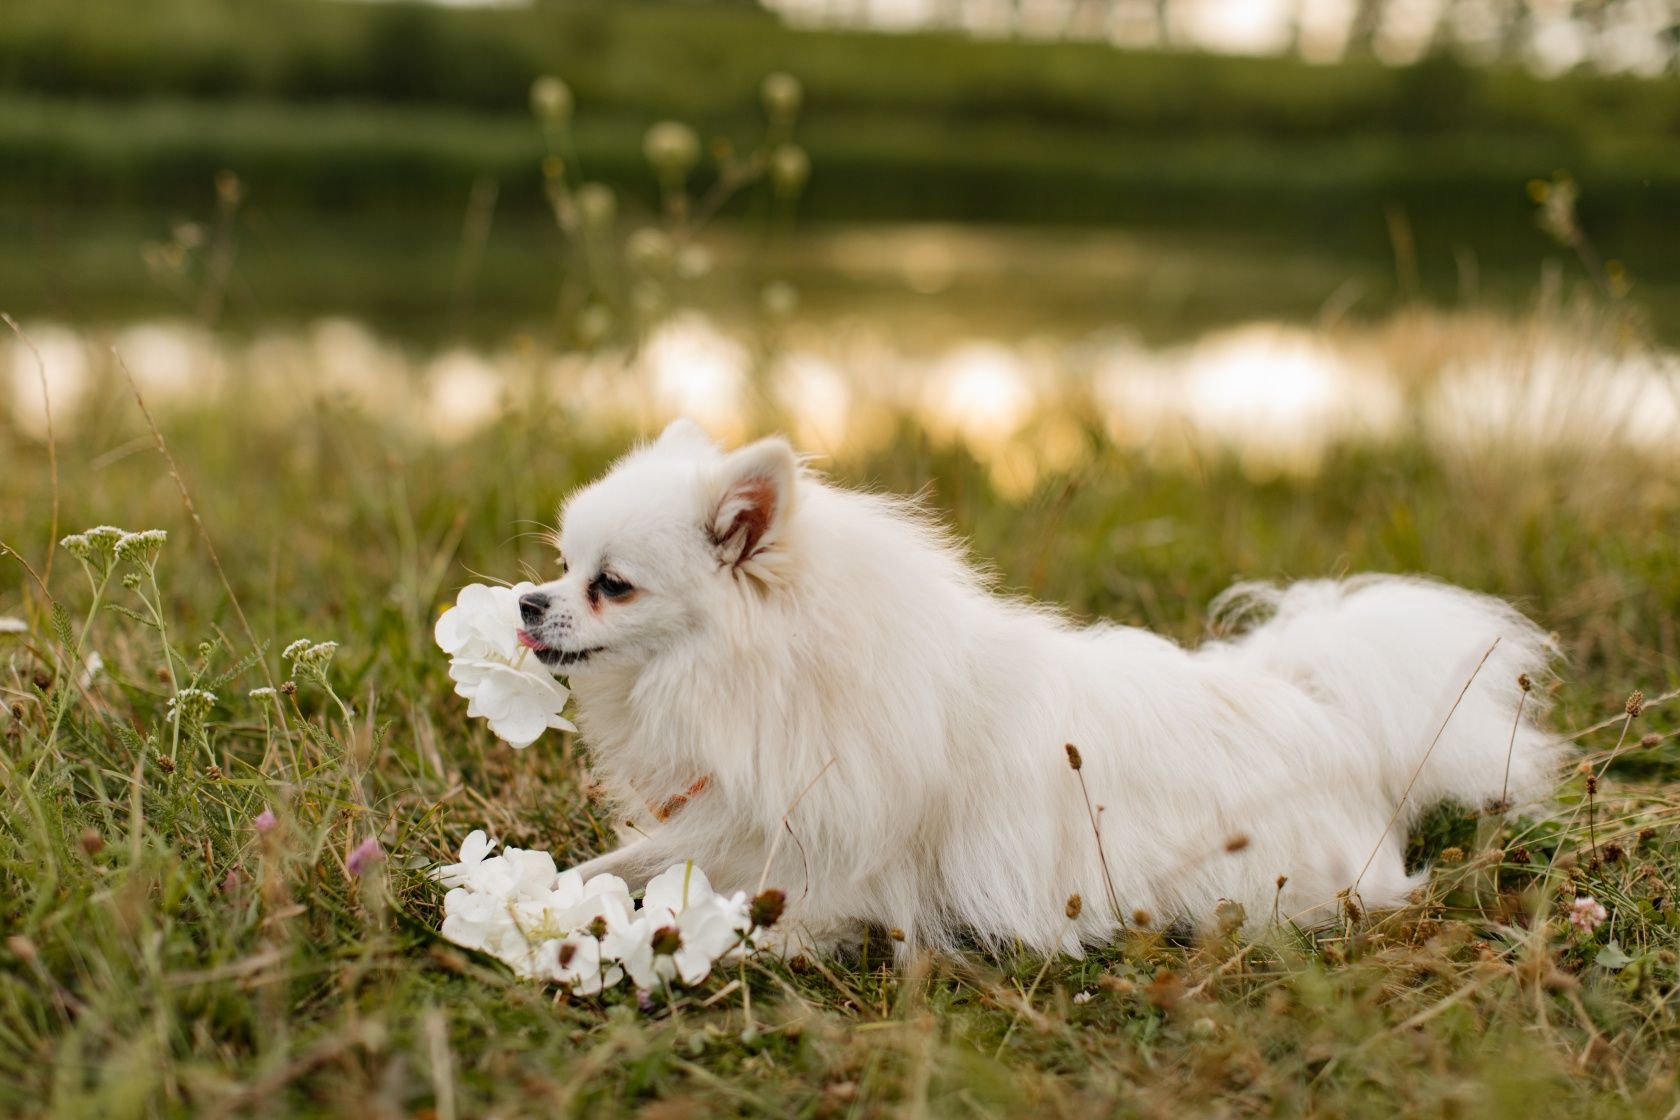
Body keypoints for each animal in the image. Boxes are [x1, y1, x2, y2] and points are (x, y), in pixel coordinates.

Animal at [514, 419, 1559, 953]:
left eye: (611, 585)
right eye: (562, 565)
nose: (527, 601)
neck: (754, 667)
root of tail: (1326, 710)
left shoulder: (816, 866)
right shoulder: (723, 819)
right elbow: (620, 864)